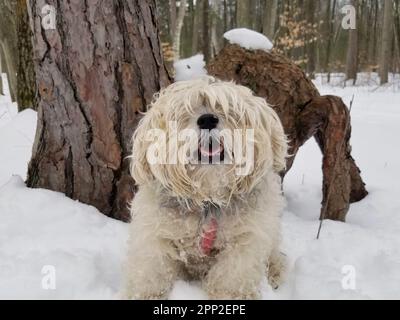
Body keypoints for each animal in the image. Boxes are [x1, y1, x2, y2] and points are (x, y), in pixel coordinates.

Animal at [122, 75, 288, 300]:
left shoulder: (246, 240)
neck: (208, 200)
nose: (208, 119)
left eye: (228, 110)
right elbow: (152, 272)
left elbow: (232, 278)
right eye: (184, 112)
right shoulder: (155, 235)